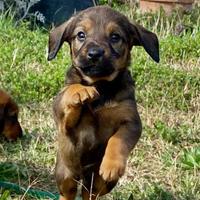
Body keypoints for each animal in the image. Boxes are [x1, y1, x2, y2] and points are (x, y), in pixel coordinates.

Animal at [47, 5, 159, 200]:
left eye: (115, 37)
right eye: (81, 35)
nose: (94, 54)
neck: (101, 85)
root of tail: (83, 176)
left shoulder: (131, 122)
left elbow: (118, 140)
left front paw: (111, 165)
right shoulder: (64, 122)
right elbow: (70, 91)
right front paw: (80, 91)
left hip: (98, 184)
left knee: (89, 193)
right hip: (65, 174)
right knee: (68, 192)